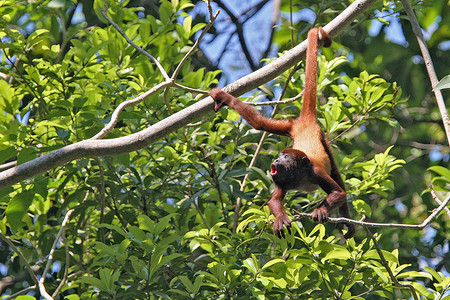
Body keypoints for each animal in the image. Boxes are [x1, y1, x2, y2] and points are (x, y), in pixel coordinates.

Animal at [207, 27, 356, 239]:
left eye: (286, 157)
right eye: (280, 155)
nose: (277, 160)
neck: (298, 176)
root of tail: (305, 122)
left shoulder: (316, 172)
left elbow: (339, 193)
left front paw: (321, 210)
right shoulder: (280, 180)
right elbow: (274, 201)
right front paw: (280, 219)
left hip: (320, 137)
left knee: (337, 174)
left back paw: (347, 222)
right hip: (289, 127)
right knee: (259, 123)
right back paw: (225, 98)